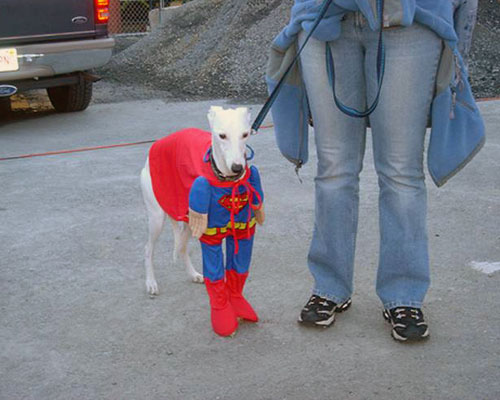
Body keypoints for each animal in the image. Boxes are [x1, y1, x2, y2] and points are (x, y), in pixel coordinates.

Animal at [140, 104, 264, 336]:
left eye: (245, 134)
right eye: (221, 136)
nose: (238, 168)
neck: (224, 179)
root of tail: (159, 143)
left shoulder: (241, 233)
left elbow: (236, 273)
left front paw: (240, 308)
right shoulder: (211, 237)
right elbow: (216, 277)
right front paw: (224, 318)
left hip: (190, 221)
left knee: (181, 248)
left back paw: (192, 274)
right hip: (157, 218)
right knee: (148, 249)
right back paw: (151, 283)